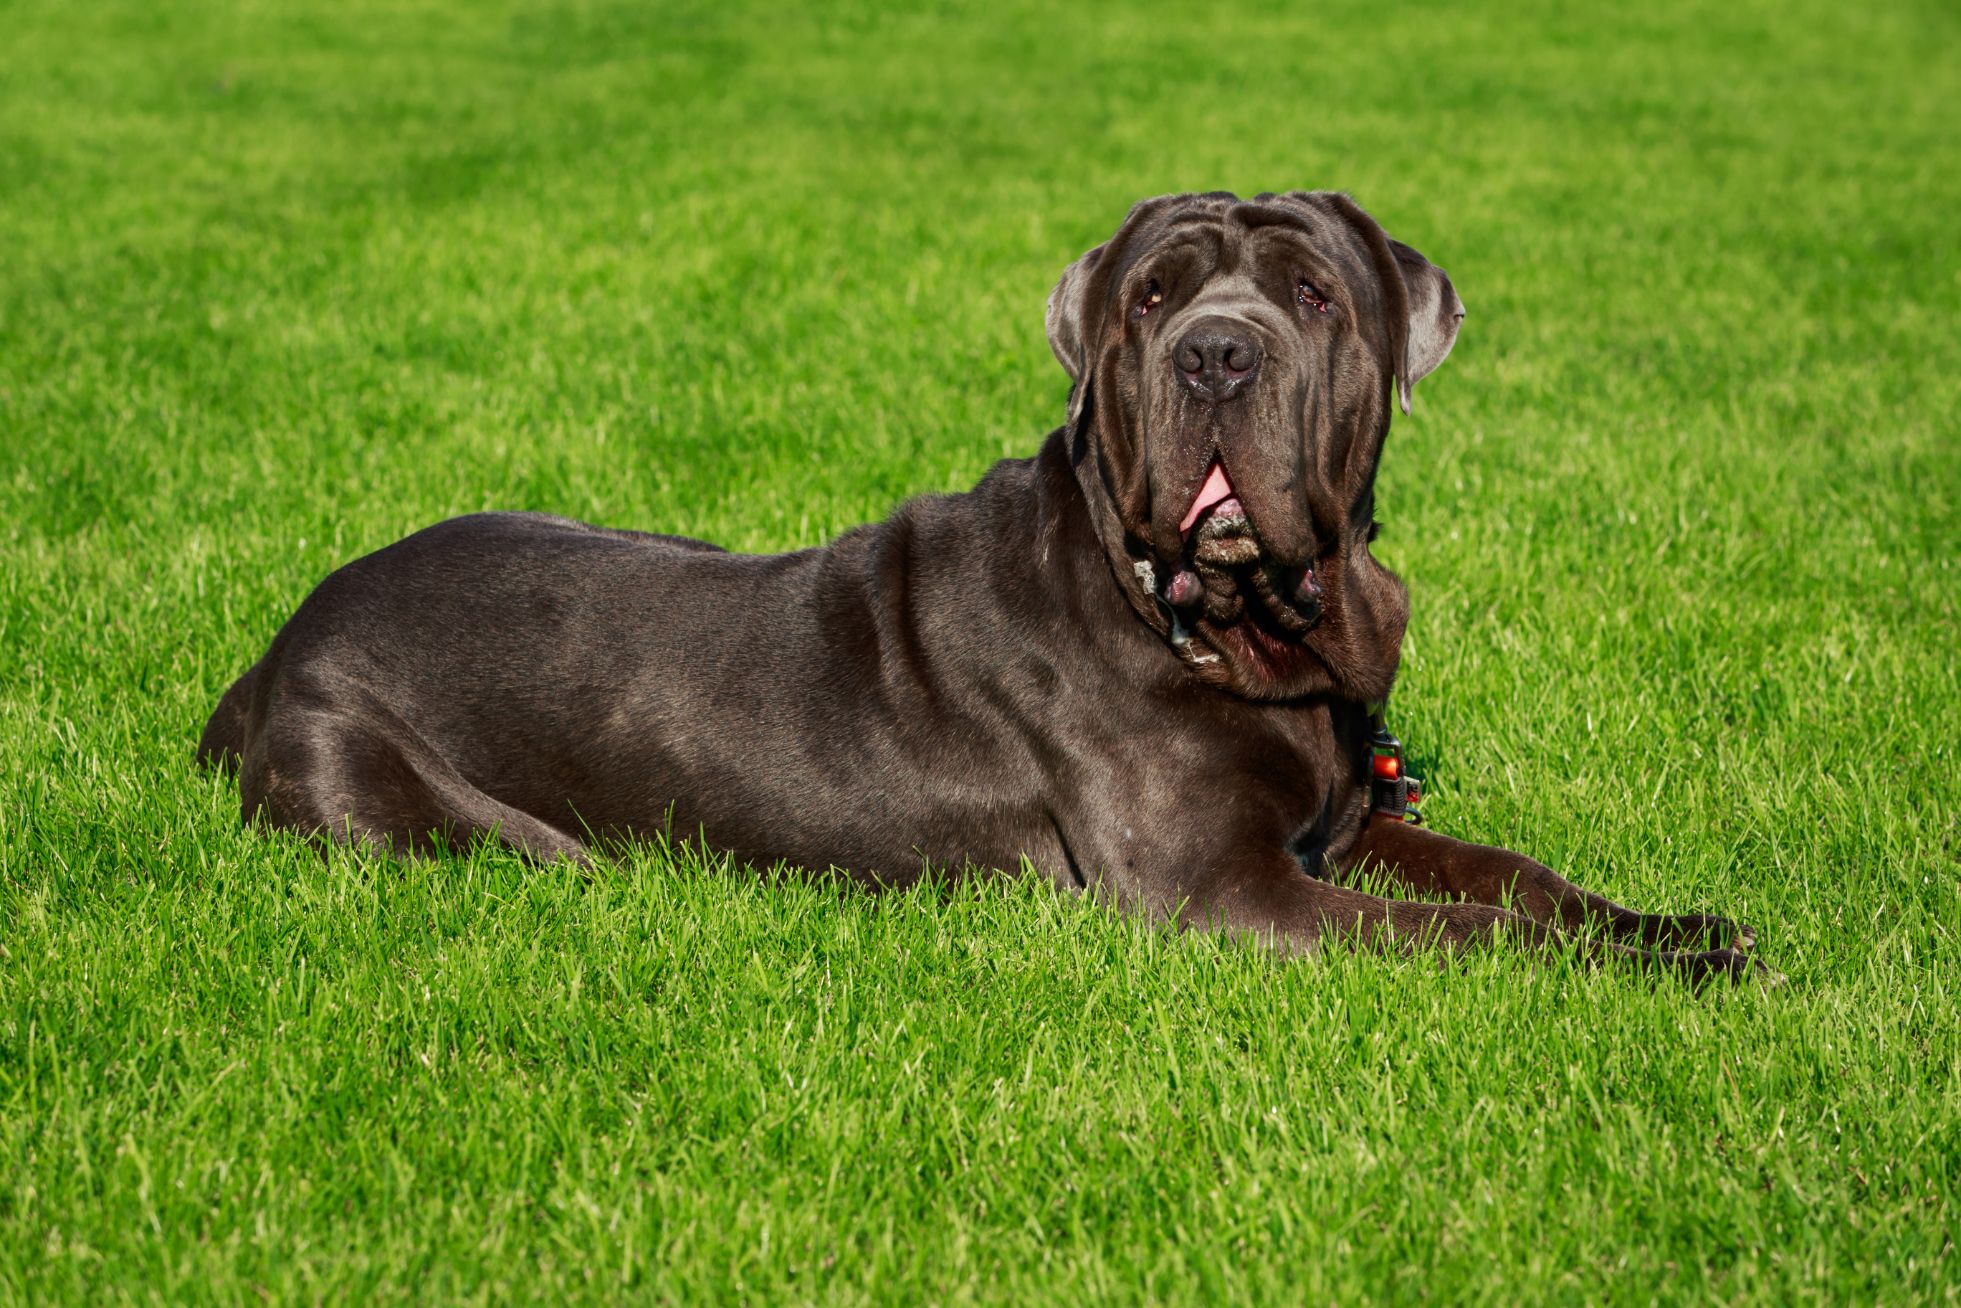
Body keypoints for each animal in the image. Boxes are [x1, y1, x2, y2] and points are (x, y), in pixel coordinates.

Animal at [202, 186, 1780, 980]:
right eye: (1155, 295)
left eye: (1313, 294)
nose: (1219, 352)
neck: (1228, 626)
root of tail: (275, 645)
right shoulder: (1222, 892)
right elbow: (1466, 939)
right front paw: (1669, 975)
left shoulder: (1345, 829)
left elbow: (1519, 884)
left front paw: (1676, 931)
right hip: (401, 808)